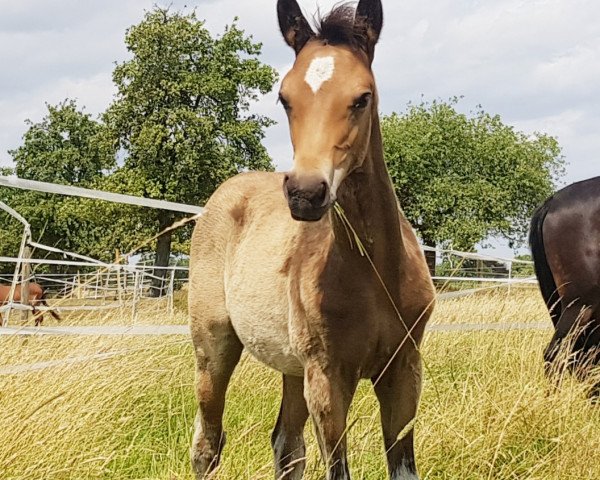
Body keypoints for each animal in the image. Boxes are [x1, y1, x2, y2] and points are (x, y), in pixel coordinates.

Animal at [190, 0, 434, 480]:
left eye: (362, 97)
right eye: (285, 98)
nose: (305, 193)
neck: (376, 274)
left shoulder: (403, 371)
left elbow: (402, 466)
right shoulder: (327, 376)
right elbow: (337, 468)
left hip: (292, 367)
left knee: (286, 445)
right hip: (214, 345)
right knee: (208, 443)